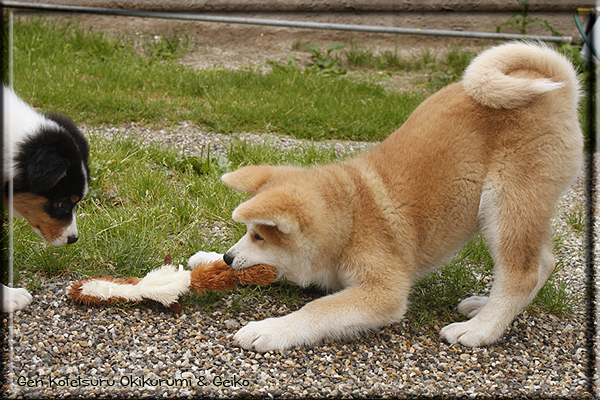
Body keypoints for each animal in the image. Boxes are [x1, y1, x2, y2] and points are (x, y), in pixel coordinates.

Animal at [209, 42, 584, 352]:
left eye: (259, 236)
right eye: (248, 233)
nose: (228, 257)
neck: (351, 219)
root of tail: (559, 87)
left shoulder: (383, 290)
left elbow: (318, 309)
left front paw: (270, 330)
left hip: (506, 203)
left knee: (522, 273)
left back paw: (480, 329)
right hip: (527, 206)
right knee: (544, 262)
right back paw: (483, 306)